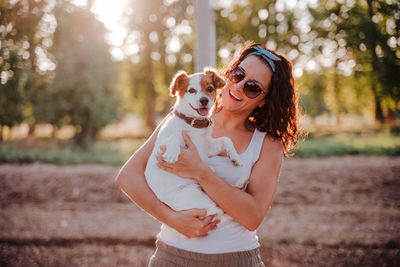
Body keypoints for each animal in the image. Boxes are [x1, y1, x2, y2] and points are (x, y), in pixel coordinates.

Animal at [145, 67, 242, 226]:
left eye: (210, 88)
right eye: (191, 90)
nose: (204, 100)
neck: (194, 124)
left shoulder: (208, 148)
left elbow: (226, 140)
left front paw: (235, 157)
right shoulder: (161, 145)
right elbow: (176, 135)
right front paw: (172, 152)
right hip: (197, 199)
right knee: (218, 213)